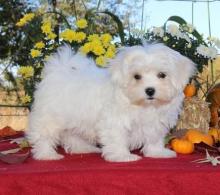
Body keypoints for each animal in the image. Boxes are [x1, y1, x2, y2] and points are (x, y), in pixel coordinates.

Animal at [27, 43, 196, 161]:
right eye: (136, 76)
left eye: (162, 75)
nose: (150, 90)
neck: (144, 106)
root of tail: (58, 70)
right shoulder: (115, 120)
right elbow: (117, 137)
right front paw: (122, 156)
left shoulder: (156, 123)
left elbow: (154, 137)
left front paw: (158, 152)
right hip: (49, 117)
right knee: (43, 136)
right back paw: (46, 154)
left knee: (72, 135)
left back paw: (83, 148)